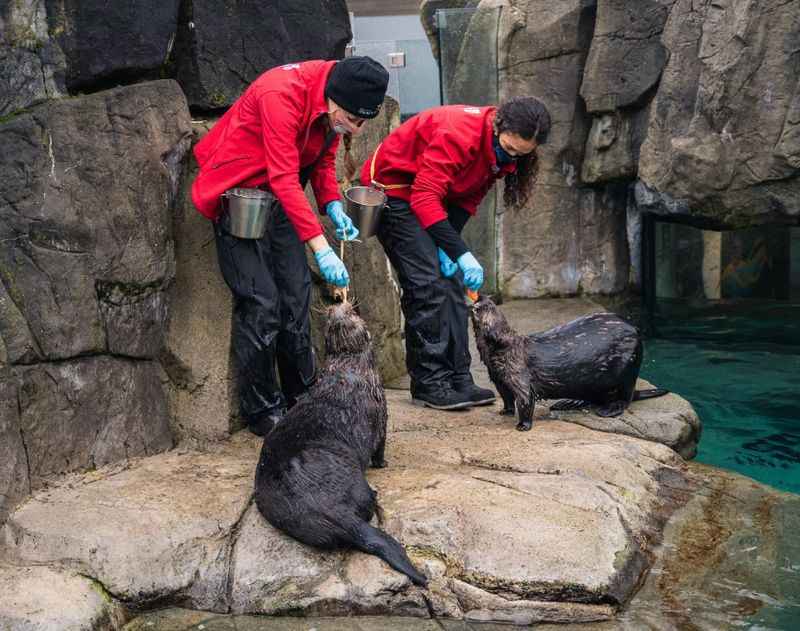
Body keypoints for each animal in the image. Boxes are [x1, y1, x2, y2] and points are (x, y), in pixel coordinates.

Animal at [258, 302, 432, 588]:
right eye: (353, 315)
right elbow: (380, 442)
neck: (345, 369)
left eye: (346, 316)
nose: (338, 307)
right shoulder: (381, 407)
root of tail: (335, 512)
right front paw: (383, 463)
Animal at [472, 296, 664, 432]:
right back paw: (568, 402)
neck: (504, 352)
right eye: (486, 302)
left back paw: (609, 409)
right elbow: (506, 397)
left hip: (628, 367)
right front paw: (506, 411)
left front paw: (522, 426)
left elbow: (526, 400)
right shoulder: (499, 379)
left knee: (625, 397)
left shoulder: (519, 375)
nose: (479, 299)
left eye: (489, 307)